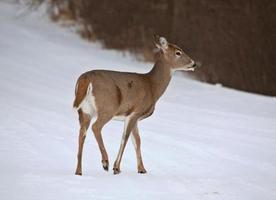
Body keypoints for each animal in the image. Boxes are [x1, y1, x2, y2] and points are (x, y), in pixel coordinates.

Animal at [73, 35, 197, 175]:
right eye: (178, 52)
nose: (194, 63)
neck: (152, 87)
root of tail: (85, 79)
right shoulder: (135, 112)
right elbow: (125, 138)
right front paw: (117, 168)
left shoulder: (135, 118)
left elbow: (137, 140)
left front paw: (142, 169)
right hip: (107, 107)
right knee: (96, 127)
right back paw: (105, 162)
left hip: (85, 111)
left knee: (82, 133)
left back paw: (79, 171)